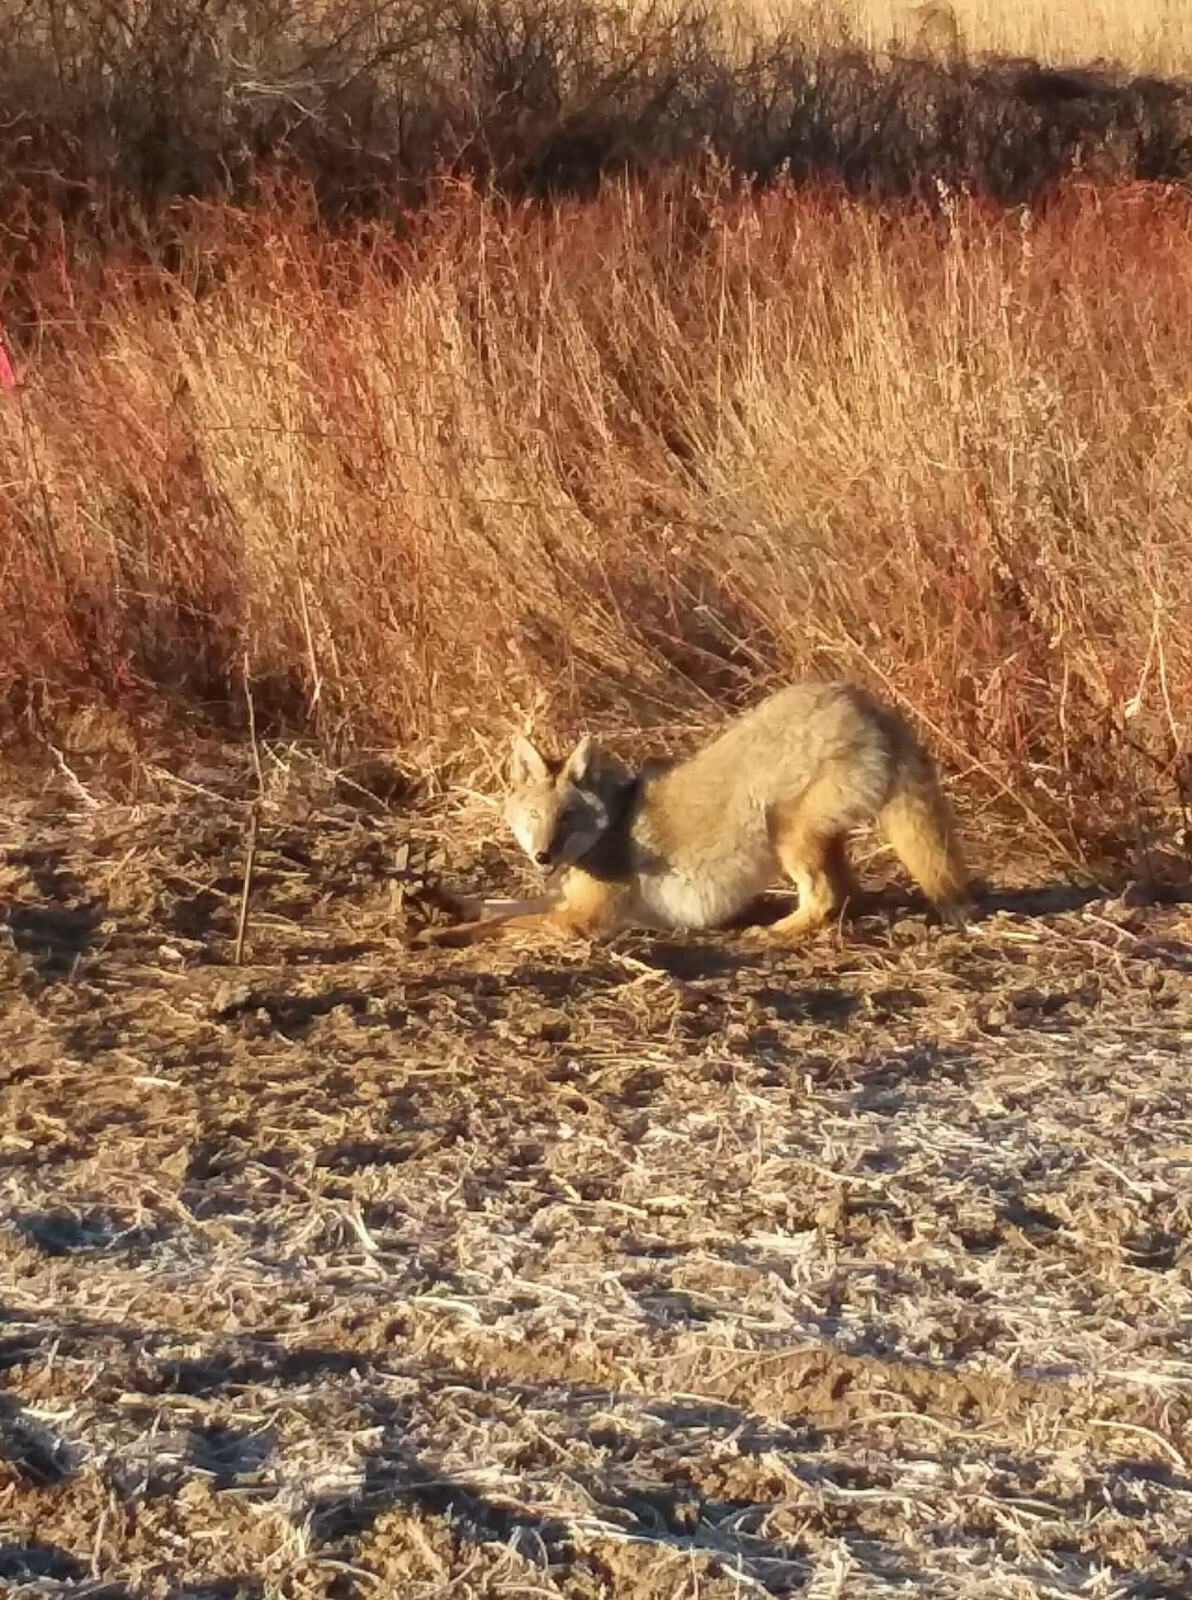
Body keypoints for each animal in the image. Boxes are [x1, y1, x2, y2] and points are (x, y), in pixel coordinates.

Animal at [424, 681, 971, 948]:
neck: (611, 825)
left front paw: (443, 934)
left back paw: (771, 933)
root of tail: (864, 700)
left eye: (568, 819)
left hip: (784, 834)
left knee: (826, 896)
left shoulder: (583, 918)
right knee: (845, 895)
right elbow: (497, 906)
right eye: (536, 817)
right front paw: (444, 904)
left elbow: (503, 923)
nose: (542, 857)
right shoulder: (560, 899)